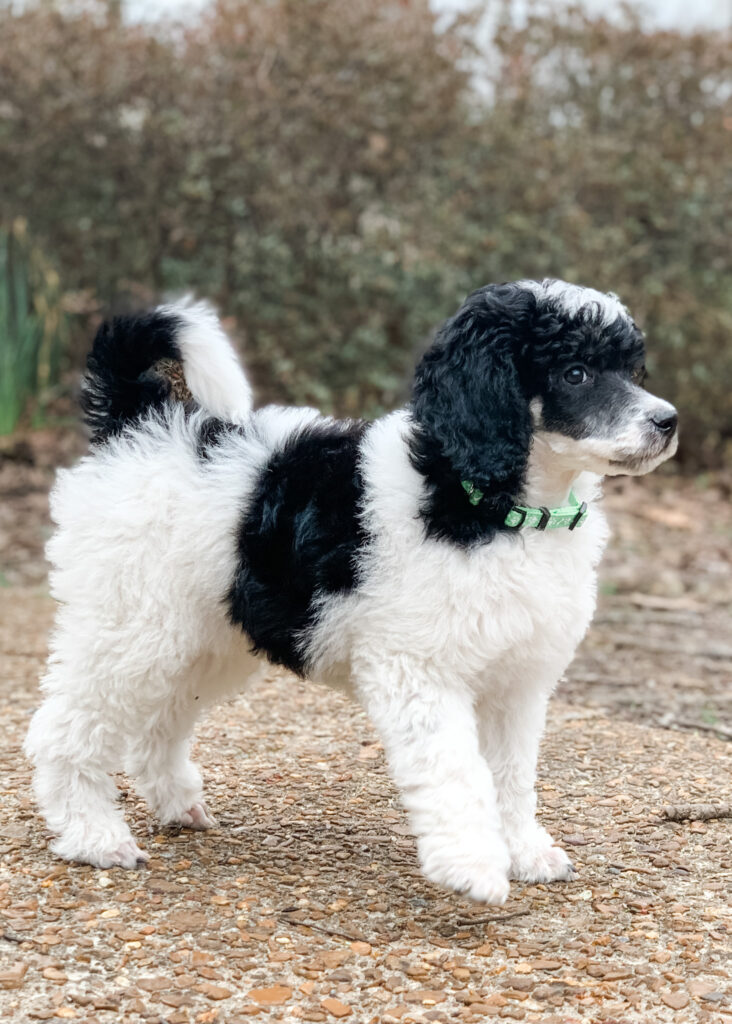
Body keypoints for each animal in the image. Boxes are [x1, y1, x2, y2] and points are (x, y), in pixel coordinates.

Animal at [25, 280, 679, 905]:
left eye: (632, 371)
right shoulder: (418, 671)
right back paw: (92, 835)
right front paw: (472, 865)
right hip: (131, 625)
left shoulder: (515, 682)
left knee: (158, 720)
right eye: (576, 373)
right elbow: (455, 769)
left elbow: (510, 774)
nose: (668, 421)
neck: (488, 501)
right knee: (66, 728)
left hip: (205, 638)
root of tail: (144, 423)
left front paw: (523, 850)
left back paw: (176, 804)